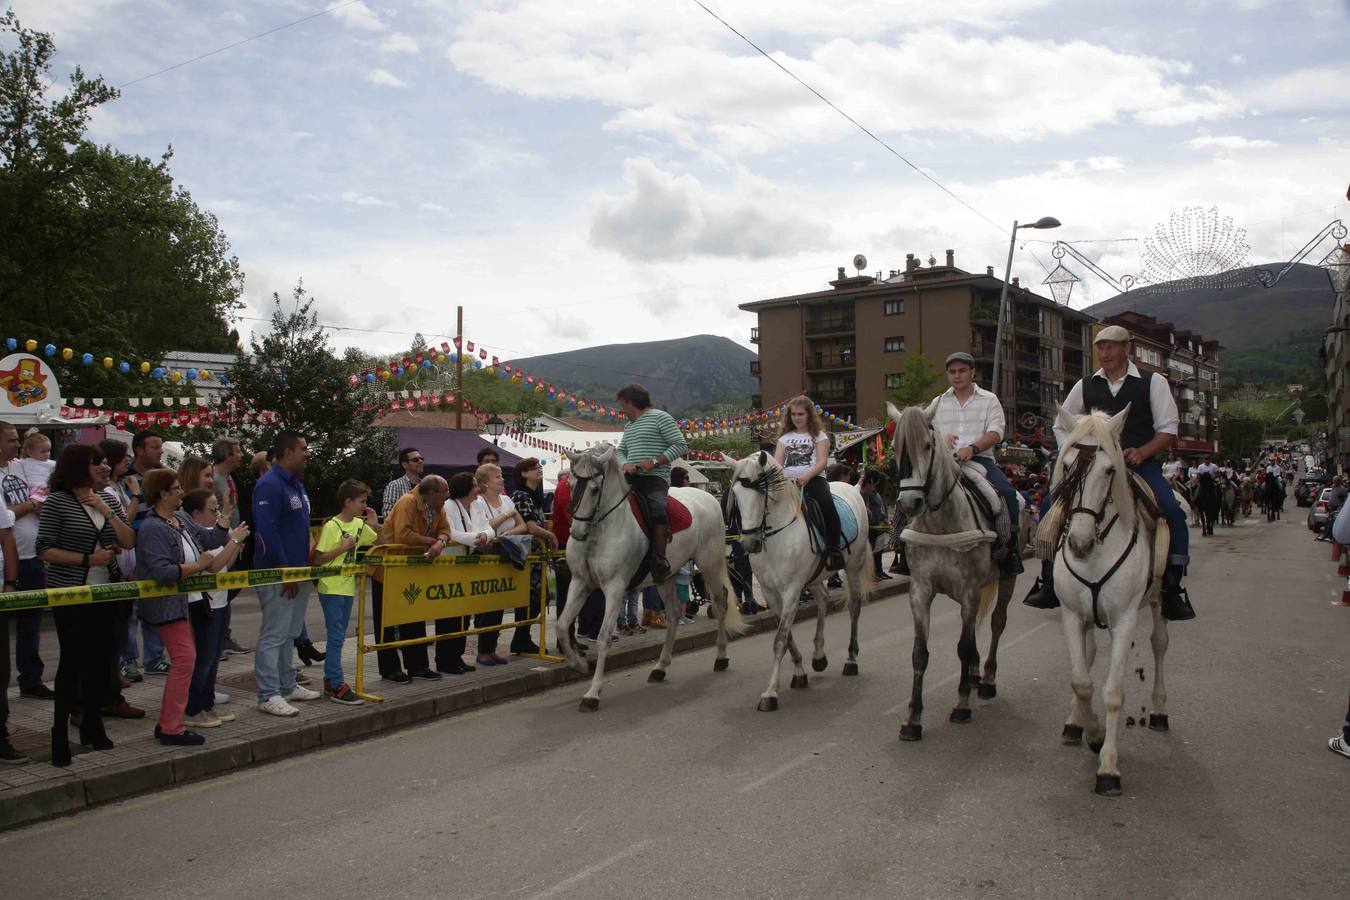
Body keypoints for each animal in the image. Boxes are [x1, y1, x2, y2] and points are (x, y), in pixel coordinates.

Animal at [550, 442, 745, 712]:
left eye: (595, 489)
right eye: (569, 485)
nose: (577, 532)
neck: (602, 529)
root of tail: (709, 498)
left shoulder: (614, 587)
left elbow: (603, 637)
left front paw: (592, 693)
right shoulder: (580, 583)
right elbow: (561, 626)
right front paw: (578, 663)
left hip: (709, 564)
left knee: (720, 600)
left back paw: (721, 657)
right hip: (667, 577)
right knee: (673, 615)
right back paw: (660, 668)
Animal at [729, 453, 874, 712]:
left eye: (760, 493)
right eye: (736, 494)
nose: (749, 543)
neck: (776, 538)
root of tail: (853, 487)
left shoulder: (792, 591)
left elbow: (779, 640)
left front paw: (770, 693)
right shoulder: (771, 594)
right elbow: (786, 637)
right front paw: (799, 672)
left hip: (852, 567)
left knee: (854, 608)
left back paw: (851, 659)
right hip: (814, 577)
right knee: (823, 601)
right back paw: (819, 656)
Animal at [885, 402, 1020, 739]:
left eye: (927, 445)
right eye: (895, 447)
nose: (910, 502)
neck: (940, 523)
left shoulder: (970, 592)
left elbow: (963, 645)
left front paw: (961, 705)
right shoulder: (920, 592)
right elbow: (920, 653)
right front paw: (913, 719)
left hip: (1007, 579)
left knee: (996, 624)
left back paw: (986, 680)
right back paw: (972, 674)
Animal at [1042, 407, 1171, 793]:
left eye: (1110, 470)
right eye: (1068, 464)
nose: (1079, 543)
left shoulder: (1124, 619)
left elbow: (1113, 692)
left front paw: (1108, 767)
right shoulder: (1072, 614)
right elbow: (1082, 680)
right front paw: (1092, 731)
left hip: (1158, 600)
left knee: (1159, 644)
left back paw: (1159, 711)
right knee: (1087, 657)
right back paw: (1075, 723)